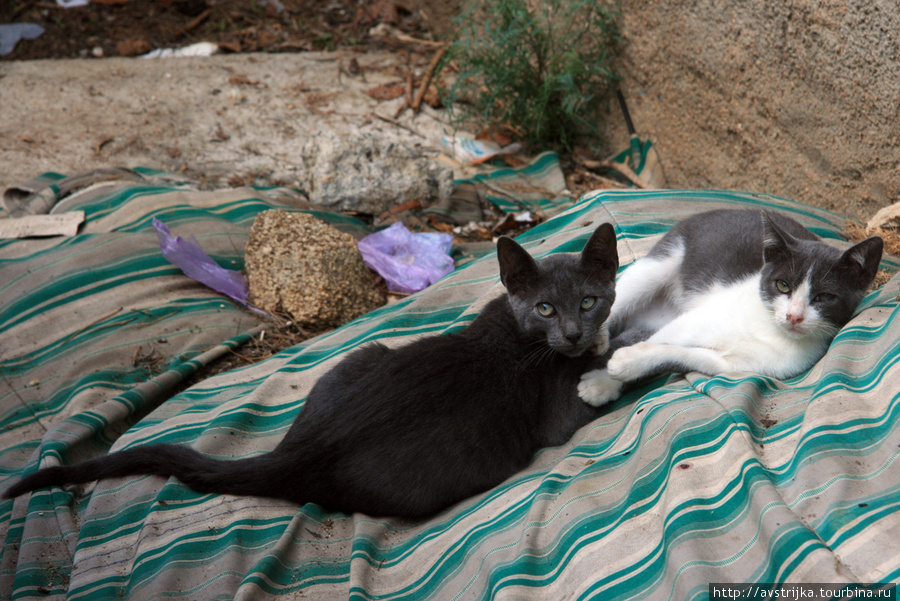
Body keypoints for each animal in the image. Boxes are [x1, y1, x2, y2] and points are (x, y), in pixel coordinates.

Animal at [580, 209, 884, 406]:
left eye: (824, 297)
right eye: (782, 285)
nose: (793, 316)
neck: (769, 329)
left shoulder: (740, 366)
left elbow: (683, 355)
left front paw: (617, 371)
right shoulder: (695, 319)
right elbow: (662, 340)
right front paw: (606, 379)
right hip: (661, 261)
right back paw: (598, 336)